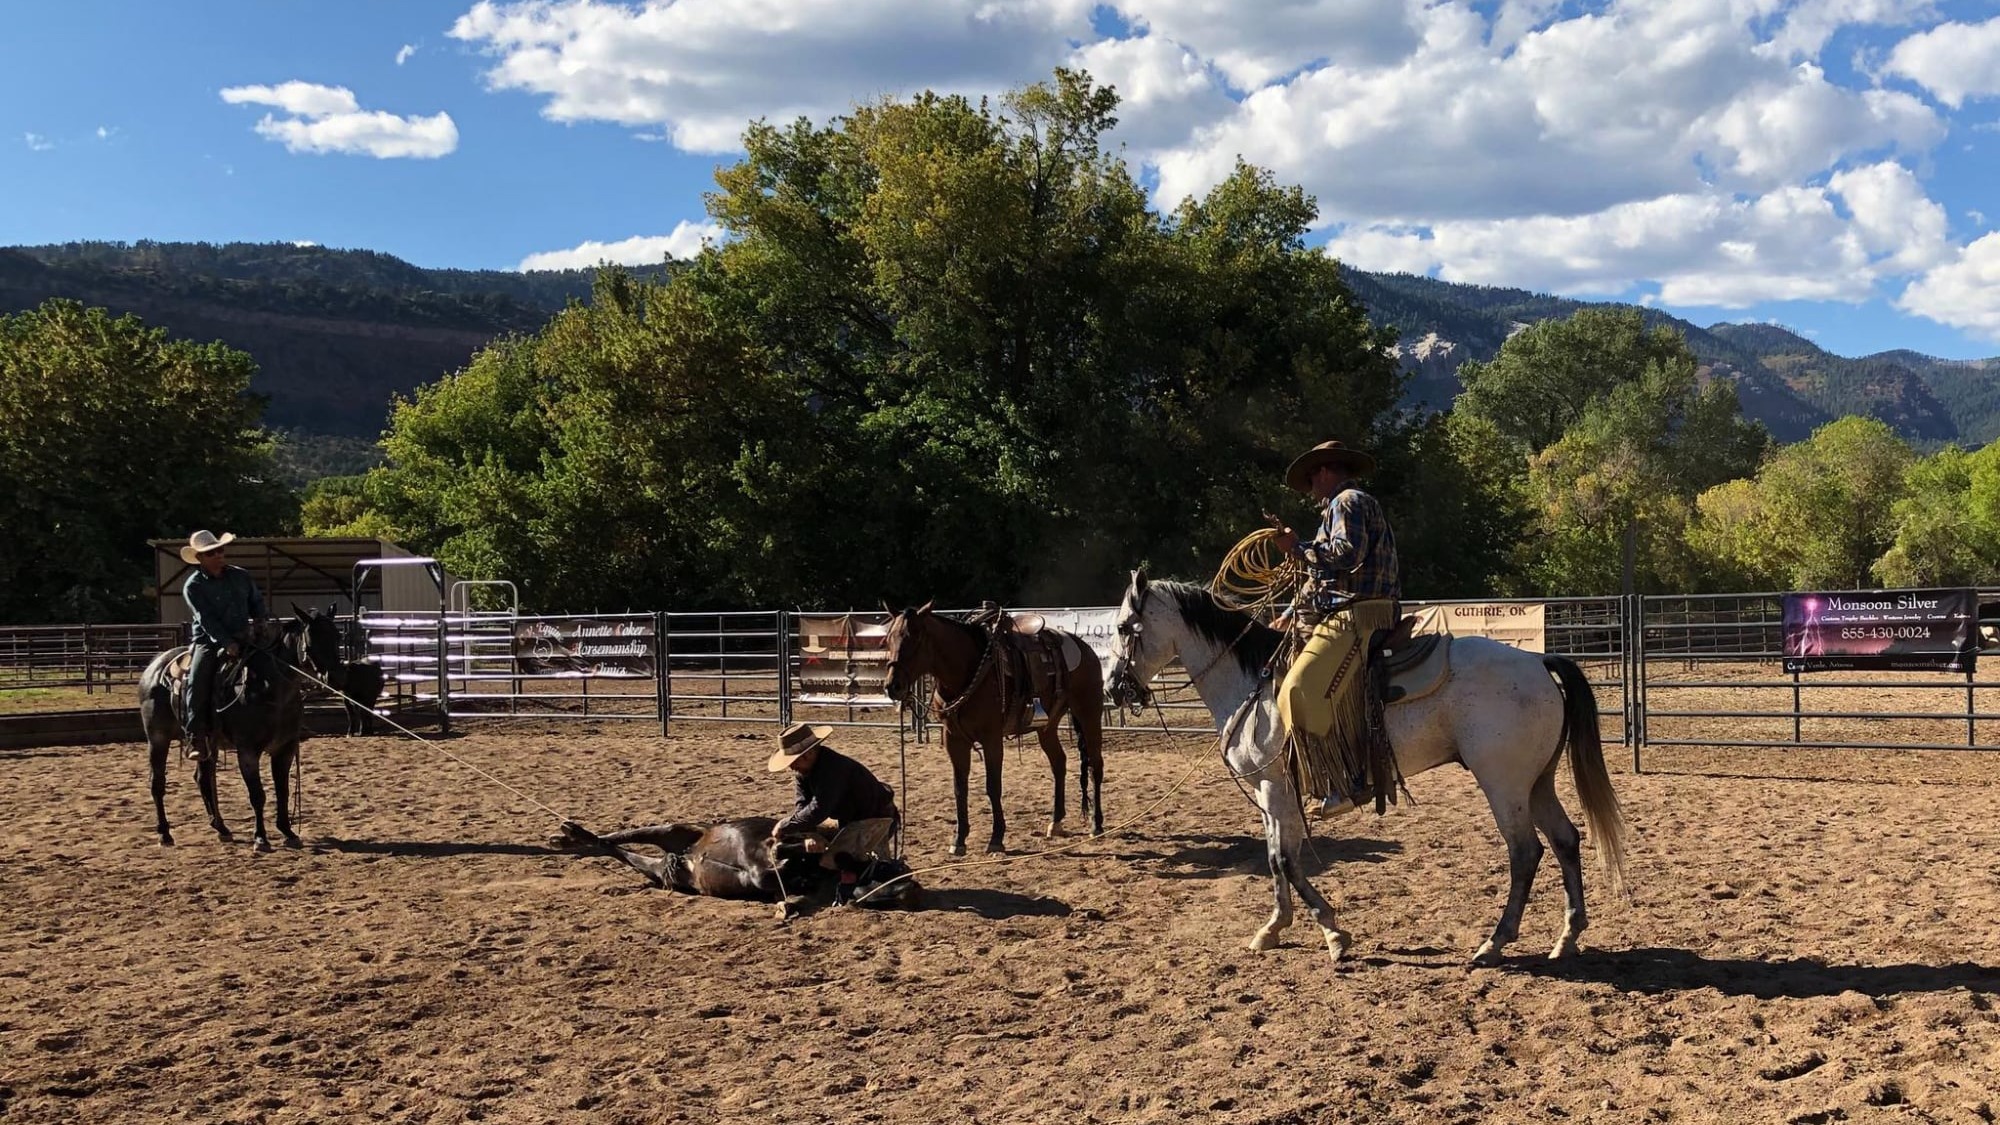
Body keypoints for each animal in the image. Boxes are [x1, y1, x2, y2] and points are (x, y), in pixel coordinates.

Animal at [138, 607, 337, 851]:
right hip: (157, 738)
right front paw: (260, 838)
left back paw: (221, 828)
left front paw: (288, 832)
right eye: (311, 640)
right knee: (157, 783)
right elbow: (257, 794)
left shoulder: (285, 748)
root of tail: (154, 666)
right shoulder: (248, 751)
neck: (269, 689)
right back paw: (164, 834)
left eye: (337, 637)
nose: (335, 676)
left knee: (203, 779)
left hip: (206, 744)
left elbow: (283, 790)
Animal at [882, 602, 1106, 855]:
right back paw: (1055, 822)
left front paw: (996, 838)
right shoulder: (954, 739)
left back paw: (1096, 824)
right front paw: (959, 839)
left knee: (1096, 765)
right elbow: (959, 788)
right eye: (888, 639)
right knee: (1059, 763)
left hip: (1089, 713)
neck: (967, 670)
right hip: (1047, 726)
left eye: (916, 637)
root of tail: (1084, 647)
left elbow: (993, 786)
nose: (893, 686)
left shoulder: (991, 739)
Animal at [1104, 571, 1628, 967]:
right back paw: (1567, 937)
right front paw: (1273, 928)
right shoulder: (1269, 795)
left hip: (1504, 783)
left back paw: (1494, 943)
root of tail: (1538, 661)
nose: (1113, 688)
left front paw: (1334, 934)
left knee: (1525, 853)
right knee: (1565, 840)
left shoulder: (1276, 788)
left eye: (1126, 627)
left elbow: (1285, 860)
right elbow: (1274, 856)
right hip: (1537, 781)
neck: (1253, 685)